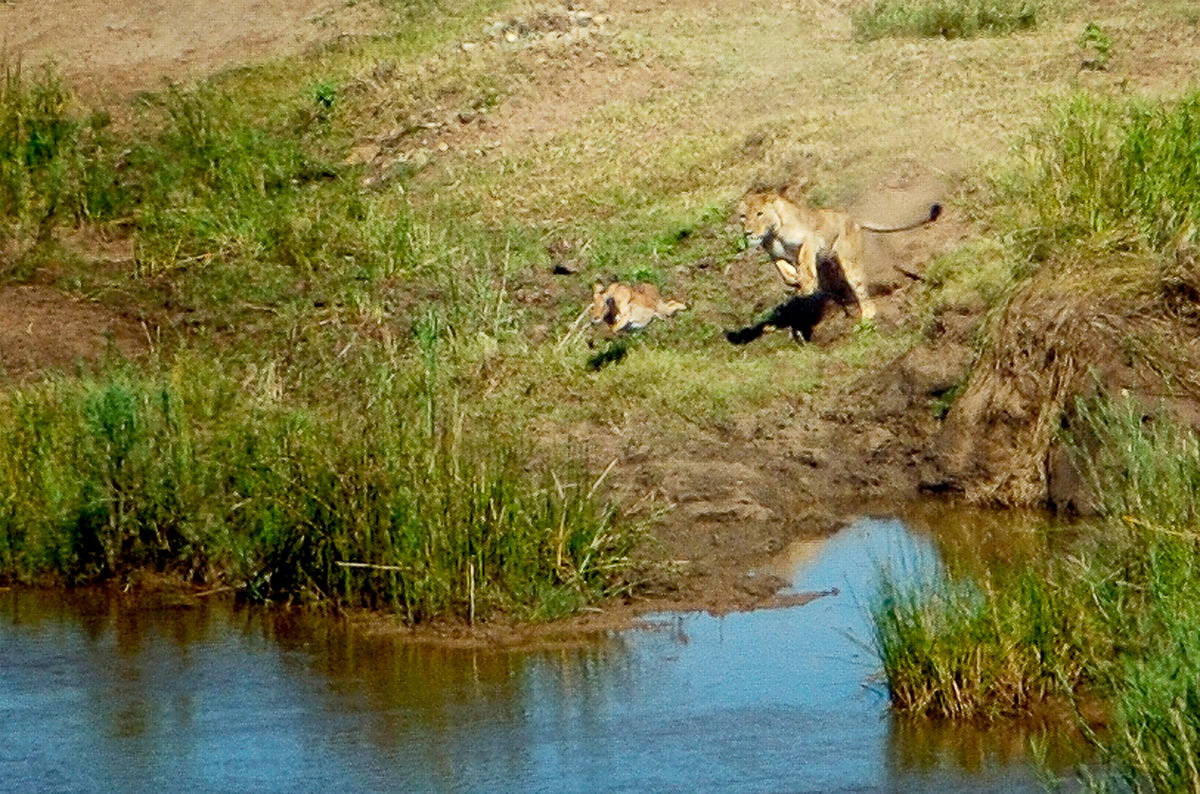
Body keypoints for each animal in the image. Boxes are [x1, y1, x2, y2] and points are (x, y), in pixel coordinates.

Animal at [738, 190, 941, 321]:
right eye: (743, 216)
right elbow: (783, 270)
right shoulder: (775, 254)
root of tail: (852, 218)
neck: (773, 234)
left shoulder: (810, 238)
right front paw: (795, 279)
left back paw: (868, 314)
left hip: (849, 260)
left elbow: (805, 260)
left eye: (759, 214)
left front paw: (807, 283)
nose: (748, 232)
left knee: (859, 287)